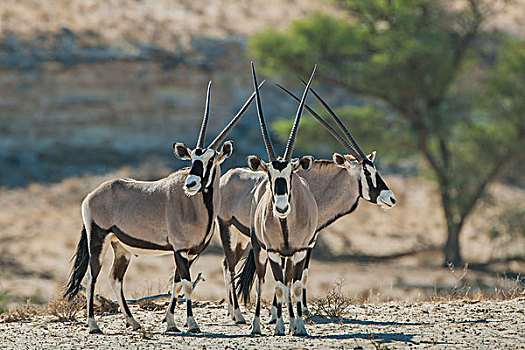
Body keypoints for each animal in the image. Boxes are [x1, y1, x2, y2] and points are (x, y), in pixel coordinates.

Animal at [64, 80, 260, 334]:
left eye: (209, 160)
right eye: (192, 159)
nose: (191, 184)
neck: (199, 208)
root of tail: (91, 195)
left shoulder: (190, 253)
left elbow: (176, 284)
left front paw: (171, 323)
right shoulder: (179, 250)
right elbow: (186, 284)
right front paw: (192, 324)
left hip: (121, 247)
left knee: (115, 278)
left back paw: (133, 322)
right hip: (98, 238)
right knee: (91, 277)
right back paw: (94, 325)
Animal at [219, 79, 396, 322]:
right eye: (368, 173)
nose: (391, 198)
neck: (313, 187)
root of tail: (226, 176)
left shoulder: (308, 241)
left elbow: (300, 274)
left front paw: (301, 310)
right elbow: (288, 275)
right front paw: (279, 313)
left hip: (242, 237)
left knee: (227, 263)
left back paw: (231, 311)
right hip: (230, 230)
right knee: (228, 265)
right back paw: (236, 313)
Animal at [235, 63, 318, 336]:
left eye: (291, 173)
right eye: (269, 173)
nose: (281, 207)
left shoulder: (300, 251)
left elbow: (295, 286)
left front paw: (298, 325)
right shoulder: (271, 251)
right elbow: (279, 286)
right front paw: (280, 326)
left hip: (290, 255)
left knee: (290, 280)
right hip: (261, 249)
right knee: (264, 280)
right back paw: (257, 325)